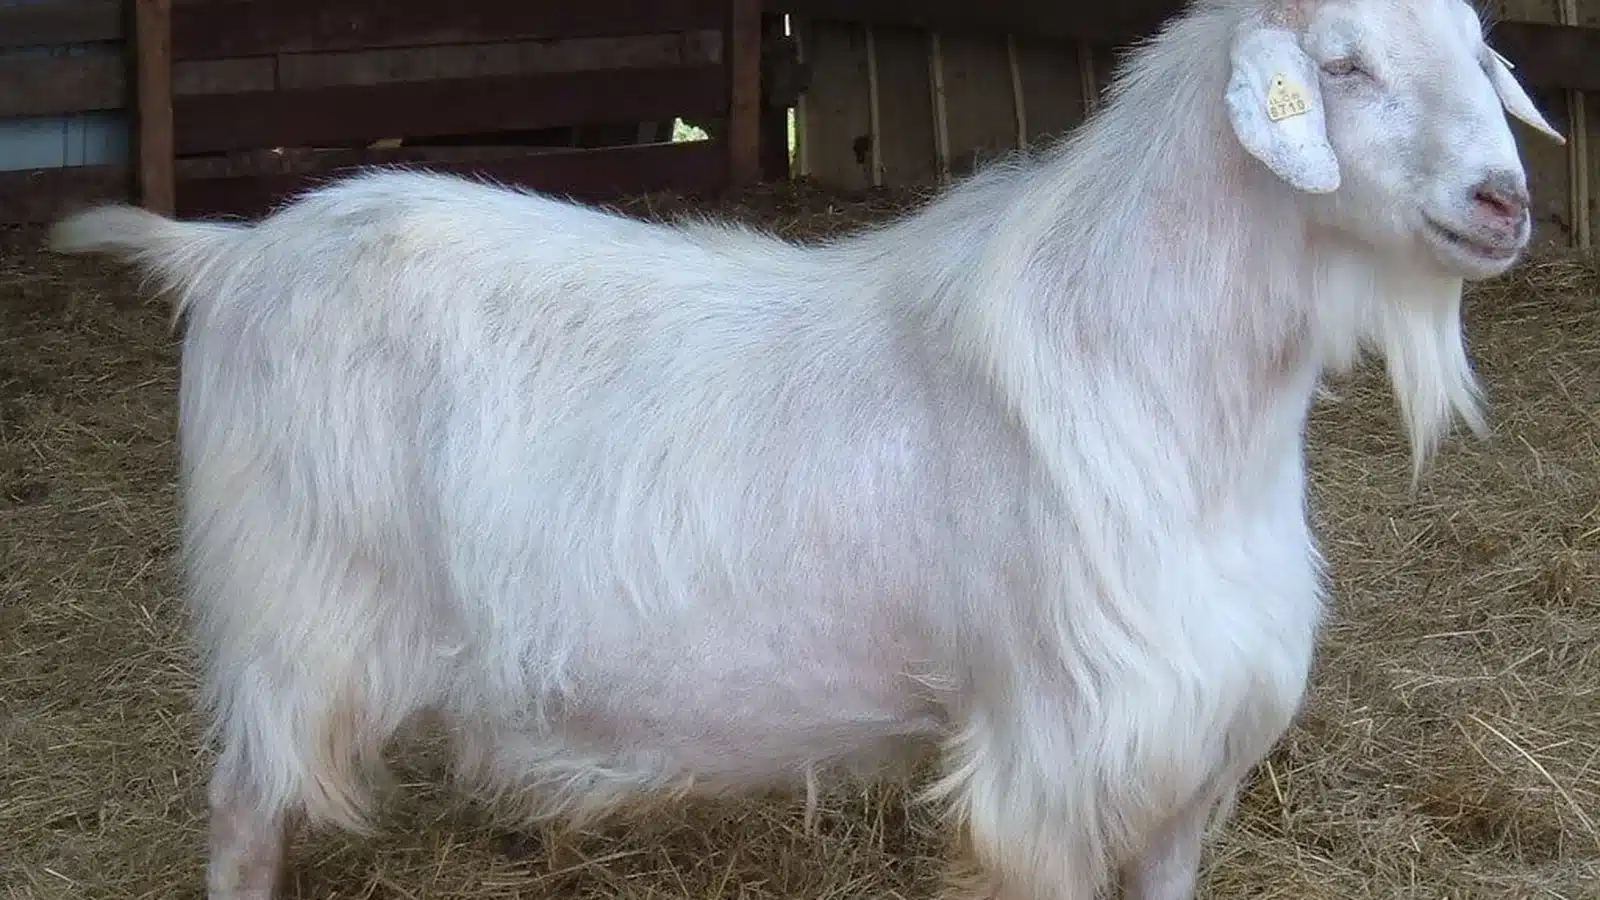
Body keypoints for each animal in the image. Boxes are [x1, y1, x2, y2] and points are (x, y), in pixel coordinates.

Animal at [49, 0, 1562, 897]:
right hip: (291, 619)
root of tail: (237, 253)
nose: (1505, 200)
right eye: (1343, 63)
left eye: (1477, 47)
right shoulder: (1056, 749)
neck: (1150, 376)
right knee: (244, 809)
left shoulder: (1188, 744)